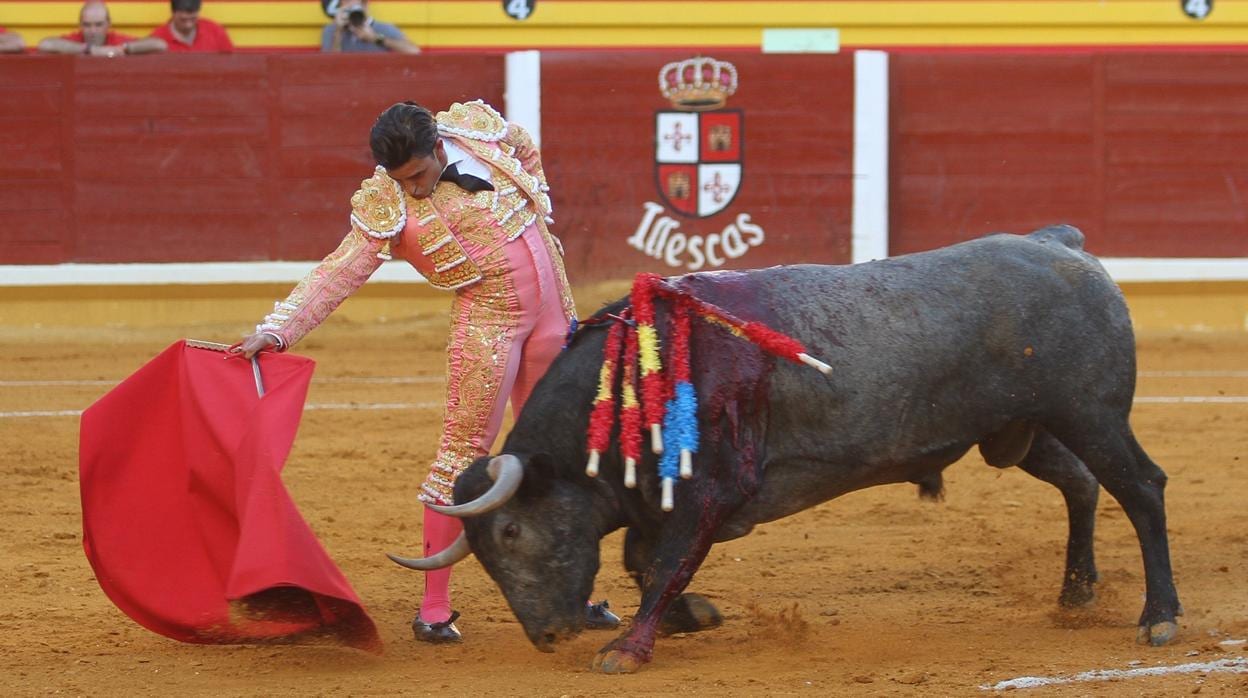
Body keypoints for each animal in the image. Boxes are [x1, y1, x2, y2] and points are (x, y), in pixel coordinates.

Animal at [389, 227, 1178, 674]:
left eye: (511, 533)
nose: (549, 636)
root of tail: (1064, 246)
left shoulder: (713, 491)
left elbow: (664, 563)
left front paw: (627, 650)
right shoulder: (658, 504)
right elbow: (645, 562)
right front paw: (693, 617)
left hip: (1092, 414)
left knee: (1141, 488)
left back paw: (1160, 616)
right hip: (1022, 432)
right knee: (1082, 485)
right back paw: (1075, 592)